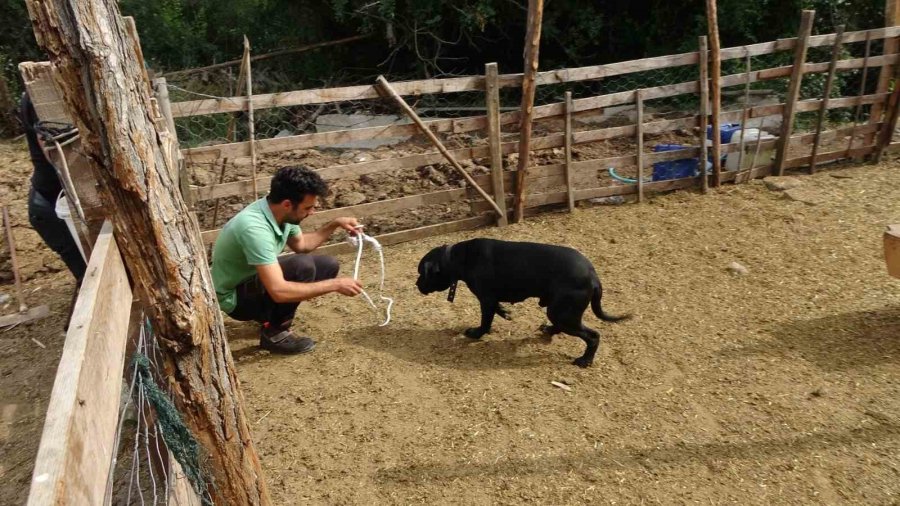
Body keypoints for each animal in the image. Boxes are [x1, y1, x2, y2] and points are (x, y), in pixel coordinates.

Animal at [414, 237, 628, 368]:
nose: (416, 284)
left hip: (561, 312)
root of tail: (593, 276)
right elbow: (497, 309)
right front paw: (505, 313)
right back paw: (549, 330)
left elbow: (485, 321)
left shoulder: (486, 298)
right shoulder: (491, 299)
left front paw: (476, 333)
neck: (458, 258)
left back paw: (584, 360)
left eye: (421, 273)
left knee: (593, 336)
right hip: (560, 311)